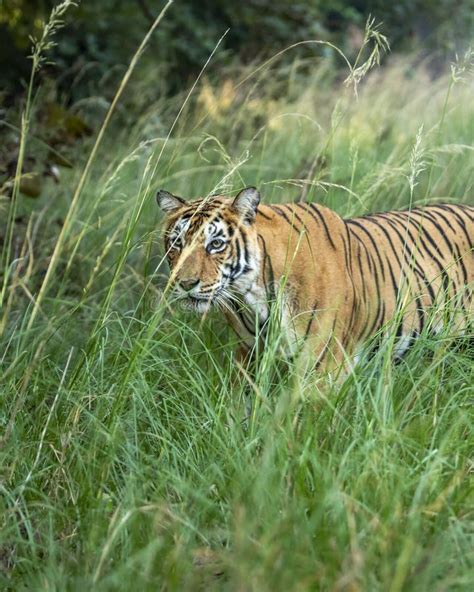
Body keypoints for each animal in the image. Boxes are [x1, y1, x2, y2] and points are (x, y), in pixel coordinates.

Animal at [156, 187, 474, 372]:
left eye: (216, 244)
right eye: (177, 243)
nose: (185, 284)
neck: (251, 298)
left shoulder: (324, 364)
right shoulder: (250, 356)